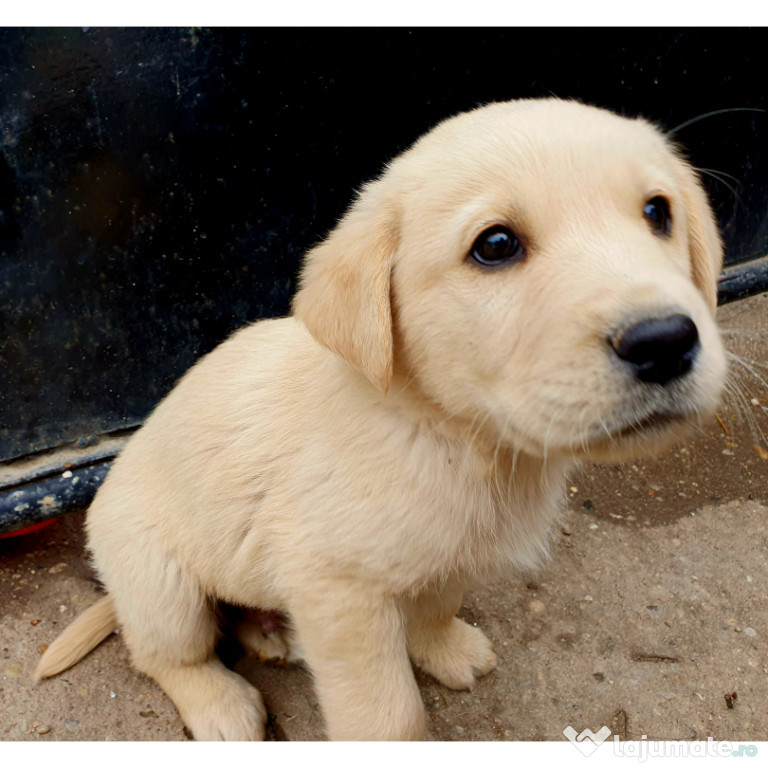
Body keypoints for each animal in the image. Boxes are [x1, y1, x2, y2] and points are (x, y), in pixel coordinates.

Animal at [34, 96, 728, 736]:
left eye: (658, 212)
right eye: (496, 245)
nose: (665, 341)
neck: (451, 437)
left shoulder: (448, 556)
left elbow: (436, 606)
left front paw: (445, 650)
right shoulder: (337, 591)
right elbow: (389, 712)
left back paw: (268, 633)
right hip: (161, 586)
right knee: (165, 655)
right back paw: (222, 705)